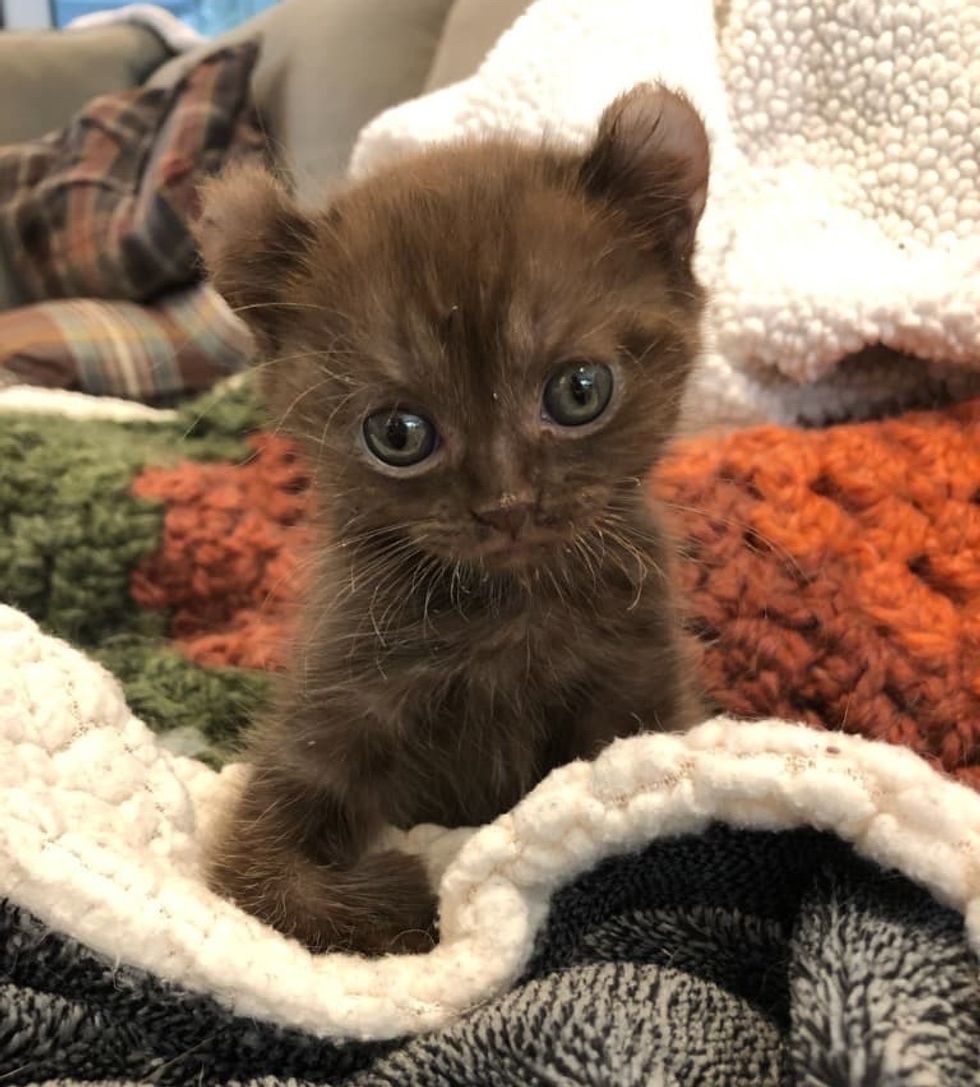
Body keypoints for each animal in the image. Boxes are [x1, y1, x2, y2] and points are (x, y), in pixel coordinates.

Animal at [195, 82, 708, 952]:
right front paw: (402, 893)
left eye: (579, 390)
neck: (504, 614)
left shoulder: (643, 685)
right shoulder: (330, 705)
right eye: (399, 434)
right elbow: (254, 875)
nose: (507, 505)